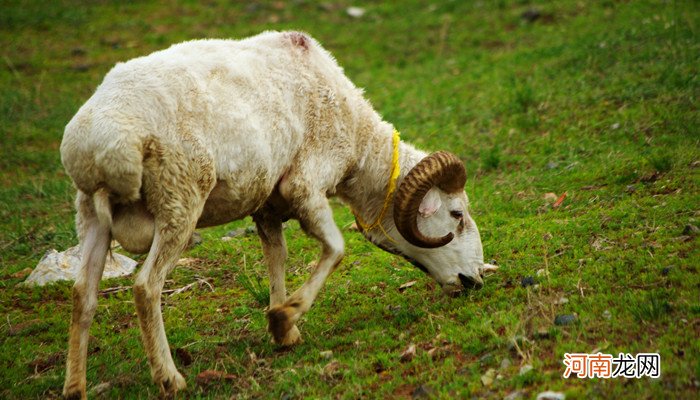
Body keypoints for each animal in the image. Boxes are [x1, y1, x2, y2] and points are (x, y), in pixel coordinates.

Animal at [63, 32, 494, 400]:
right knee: (145, 287)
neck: (357, 140)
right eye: (456, 214)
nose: (473, 280)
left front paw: (284, 330)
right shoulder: (305, 184)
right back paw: (170, 378)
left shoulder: (266, 205)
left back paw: (74, 387)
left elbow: (277, 258)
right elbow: (336, 250)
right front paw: (285, 318)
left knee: (83, 295)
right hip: (179, 199)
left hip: (90, 215)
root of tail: (99, 145)